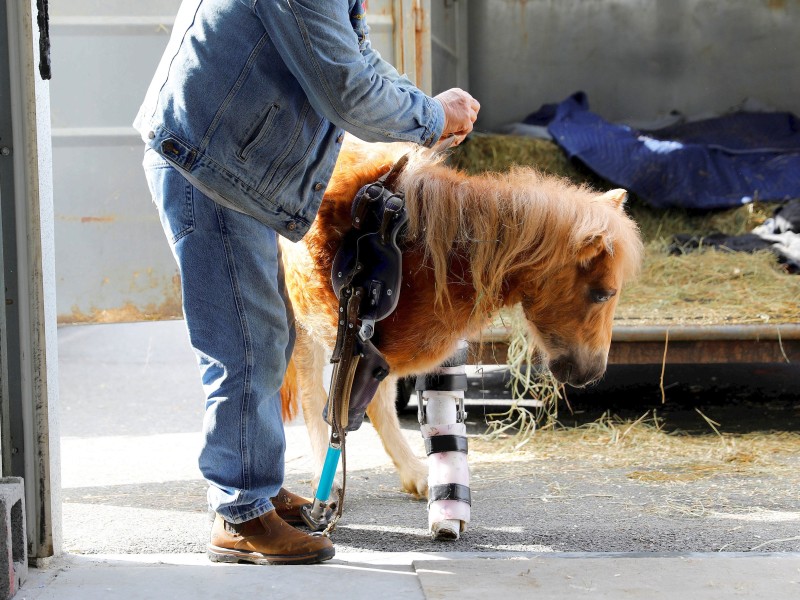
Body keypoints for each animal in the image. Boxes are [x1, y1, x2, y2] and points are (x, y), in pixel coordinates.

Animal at [282, 136, 644, 496]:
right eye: (603, 294)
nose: (593, 373)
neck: (424, 252)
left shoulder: (380, 346)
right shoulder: (358, 336)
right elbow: (343, 402)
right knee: (313, 391)